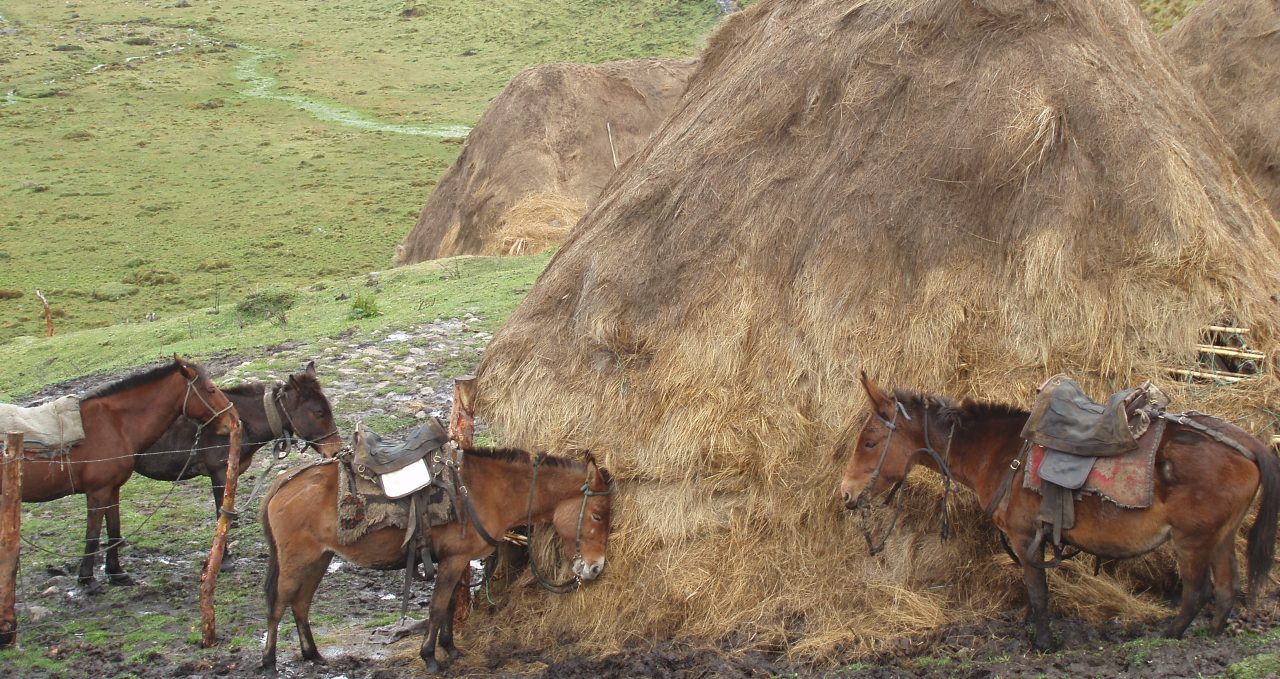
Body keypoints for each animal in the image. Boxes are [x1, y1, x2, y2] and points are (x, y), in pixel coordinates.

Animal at [19, 353, 240, 586]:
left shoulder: (112, 489)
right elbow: (93, 535)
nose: (233, 419)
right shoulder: (97, 492)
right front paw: (87, 578)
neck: (114, 424)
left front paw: (116, 572)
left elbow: (114, 530)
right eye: (210, 390)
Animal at [261, 443, 614, 671]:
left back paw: (312, 655)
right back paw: (268, 663)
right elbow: (438, 606)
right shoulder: (454, 559)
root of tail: (283, 482)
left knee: (301, 603)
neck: (485, 491)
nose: (596, 567)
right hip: (296, 560)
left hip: (318, 559)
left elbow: (448, 606)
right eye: (597, 515)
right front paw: (430, 657)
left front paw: (450, 649)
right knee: (278, 606)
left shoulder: (457, 560)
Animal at [839, 371, 1280, 648]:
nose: (846, 493)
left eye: (870, 443)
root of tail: (1246, 442)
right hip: (1221, 536)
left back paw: (1169, 637)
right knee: (1227, 588)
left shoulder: (1024, 538)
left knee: (1197, 591)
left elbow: (1037, 593)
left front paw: (1043, 643)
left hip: (1193, 539)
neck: (999, 452)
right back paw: (1211, 635)